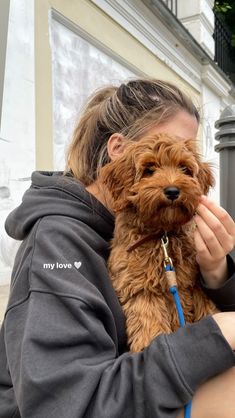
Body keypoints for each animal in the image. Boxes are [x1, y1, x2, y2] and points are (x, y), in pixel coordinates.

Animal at [100, 134, 218, 352]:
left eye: (184, 169)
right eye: (149, 169)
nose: (172, 191)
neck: (163, 235)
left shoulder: (190, 285)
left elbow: (204, 307)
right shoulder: (139, 286)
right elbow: (149, 323)